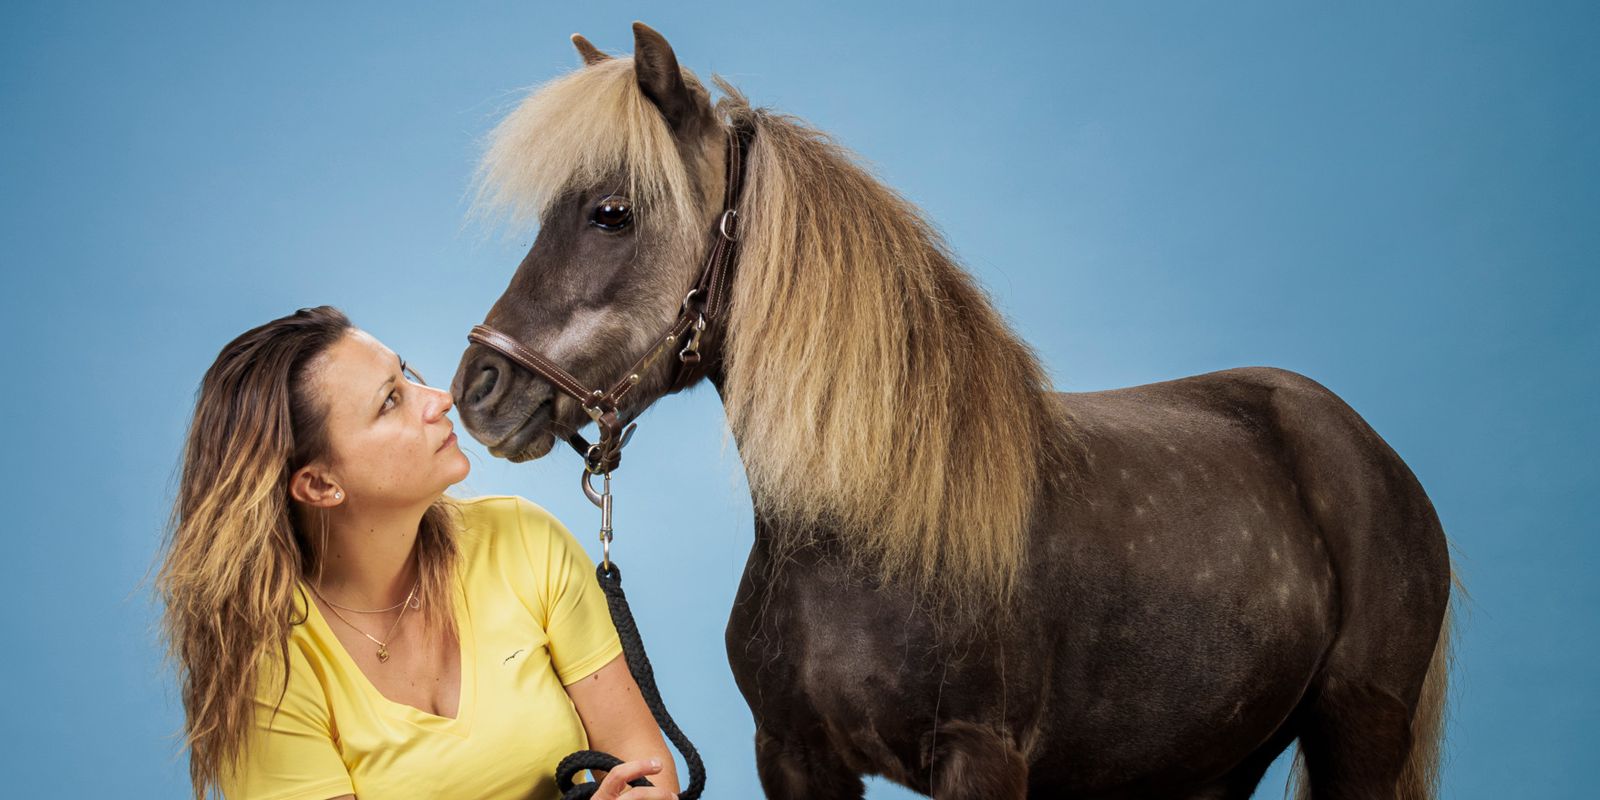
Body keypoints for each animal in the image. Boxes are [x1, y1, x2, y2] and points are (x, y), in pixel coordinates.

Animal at [450, 23, 1454, 800]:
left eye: (611, 212)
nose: (478, 390)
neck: (872, 528)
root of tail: (1368, 449)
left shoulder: (980, 757)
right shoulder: (794, 756)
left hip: (1358, 731)